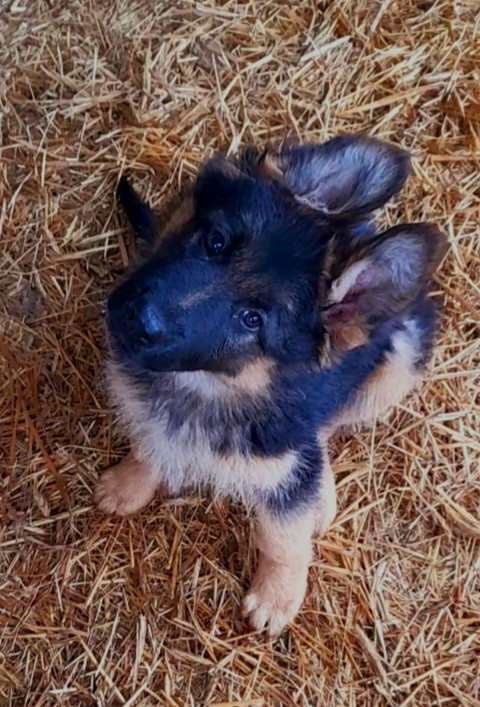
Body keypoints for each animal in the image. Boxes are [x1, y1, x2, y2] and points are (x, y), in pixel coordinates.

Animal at [95, 135, 446, 636]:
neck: (211, 388)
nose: (137, 320)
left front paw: (277, 596)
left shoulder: (286, 466)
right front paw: (129, 483)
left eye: (252, 320)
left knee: (327, 431)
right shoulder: (150, 414)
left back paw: (323, 494)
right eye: (215, 241)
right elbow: (150, 446)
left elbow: (284, 535)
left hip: (399, 363)